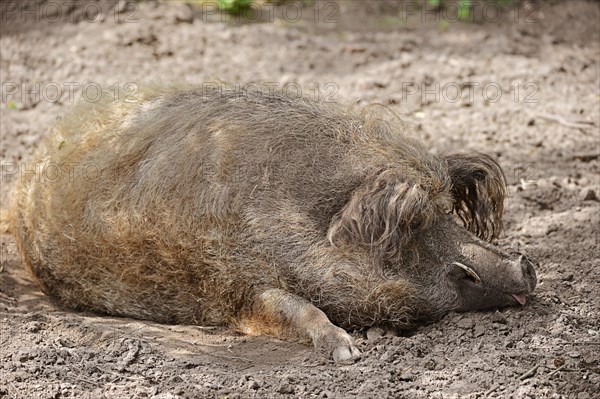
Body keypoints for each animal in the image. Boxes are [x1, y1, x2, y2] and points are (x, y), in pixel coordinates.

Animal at [9, 86, 536, 362]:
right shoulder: (233, 287)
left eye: (448, 208)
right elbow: (293, 308)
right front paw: (348, 354)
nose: (527, 265)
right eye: (416, 222)